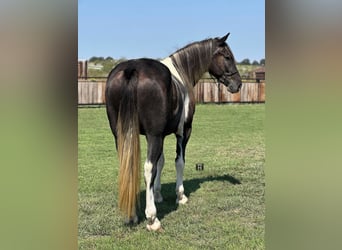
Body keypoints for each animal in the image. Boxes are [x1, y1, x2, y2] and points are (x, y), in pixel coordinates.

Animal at [105, 32, 242, 230]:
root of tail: (132, 69)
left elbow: (160, 162)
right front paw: (180, 196)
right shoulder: (182, 132)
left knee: (128, 165)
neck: (181, 72)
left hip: (121, 134)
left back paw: (131, 215)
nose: (237, 84)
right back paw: (152, 218)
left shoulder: (158, 135)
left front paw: (158, 194)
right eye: (227, 56)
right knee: (148, 168)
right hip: (154, 136)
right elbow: (179, 162)